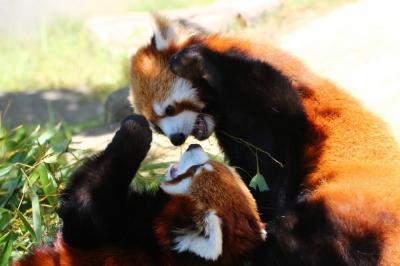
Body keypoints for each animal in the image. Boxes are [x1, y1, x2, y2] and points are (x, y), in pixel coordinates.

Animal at [128, 15, 400, 266]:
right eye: (156, 127)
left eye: (170, 109)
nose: (176, 139)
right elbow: (259, 175)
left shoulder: (276, 94)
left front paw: (196, 61)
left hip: (345, 202)